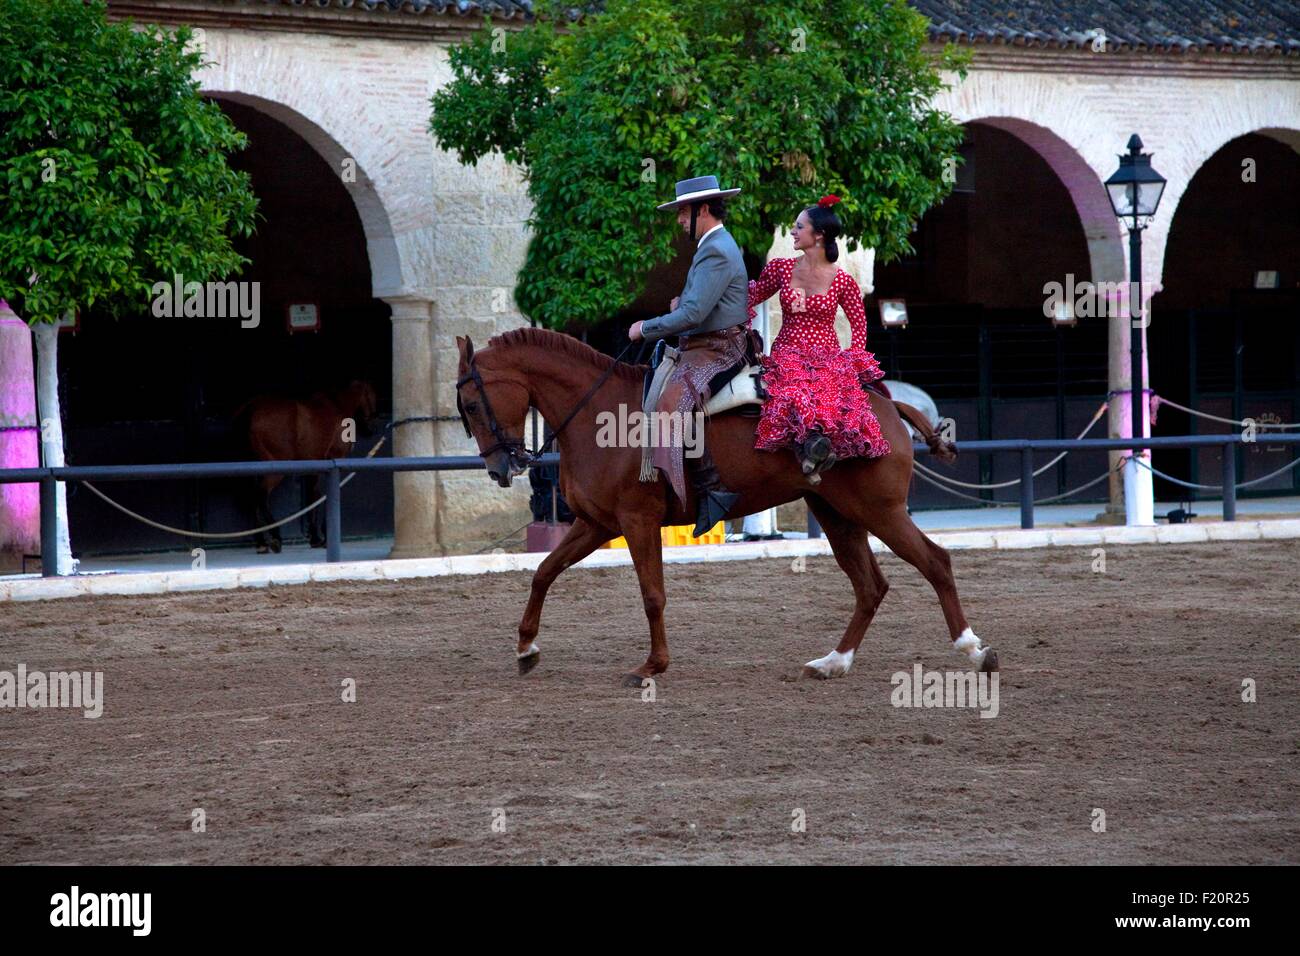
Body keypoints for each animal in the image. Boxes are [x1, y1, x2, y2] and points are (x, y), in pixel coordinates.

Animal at [236, 379, 379, 554]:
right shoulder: (333, 462)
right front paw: (324, 537)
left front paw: (315, 538)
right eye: (372, 396)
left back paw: (261, 542)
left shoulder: (314, 469)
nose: (372, 429)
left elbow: (313, 497)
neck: (337, 406)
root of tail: (252, 407)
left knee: (254, 497)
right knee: (262, 496)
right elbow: (325, 496)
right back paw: (276, 537)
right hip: (274, 470)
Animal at [452, 330, 998, 686]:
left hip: (880, 512)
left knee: (934, 562)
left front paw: (652, 666)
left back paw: (973, 649)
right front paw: (526, 647)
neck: (599, 414)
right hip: (837, 515)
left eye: (473, 405)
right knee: (870, 586)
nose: (500, 469)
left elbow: (652, 595)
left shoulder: (636, 522)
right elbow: (544, 572)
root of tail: (885, 405)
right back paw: (834, 662)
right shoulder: (595, 524)